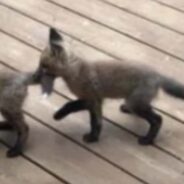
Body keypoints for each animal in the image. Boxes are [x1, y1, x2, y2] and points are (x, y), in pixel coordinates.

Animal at [35, 27, 184, 145]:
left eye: (43, 66)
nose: (35, 75)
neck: (77, 72)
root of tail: (157, 75)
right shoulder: (93, 102)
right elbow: (92, 119)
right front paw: (93, 136)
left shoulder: (93, 100)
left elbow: (79, 111)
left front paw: (92, 137)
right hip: (135, 102)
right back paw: (126, 109)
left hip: (137, 104)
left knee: (158, 119)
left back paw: (147, 140)